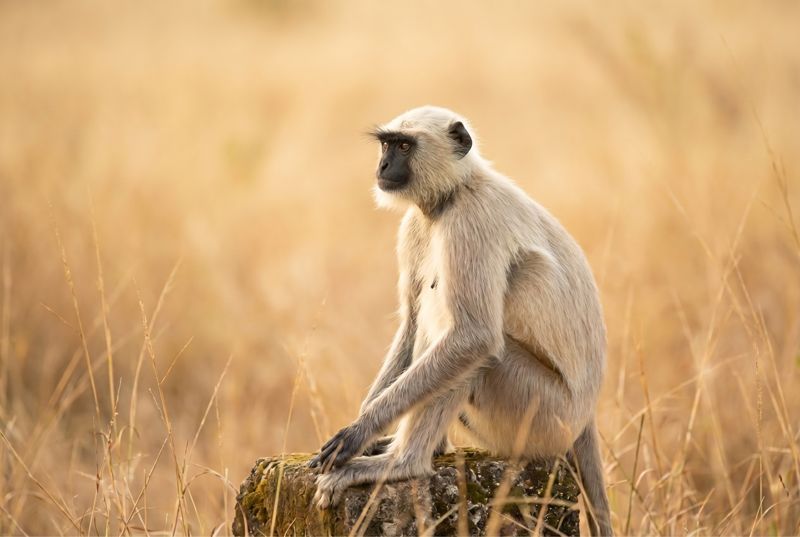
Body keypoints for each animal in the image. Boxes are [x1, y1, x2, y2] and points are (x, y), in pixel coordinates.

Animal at [308, 106, 613, 536]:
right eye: (387, 145)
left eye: (404, 146)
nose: (383, 166)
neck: (454, 192)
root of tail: (585, 417)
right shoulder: (415, 224)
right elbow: (412, 322)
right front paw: (363, 432)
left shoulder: (472, 221)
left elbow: (474, 338)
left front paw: (360, 433)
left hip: (544, 417)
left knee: (477, 349)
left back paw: (403, 463)